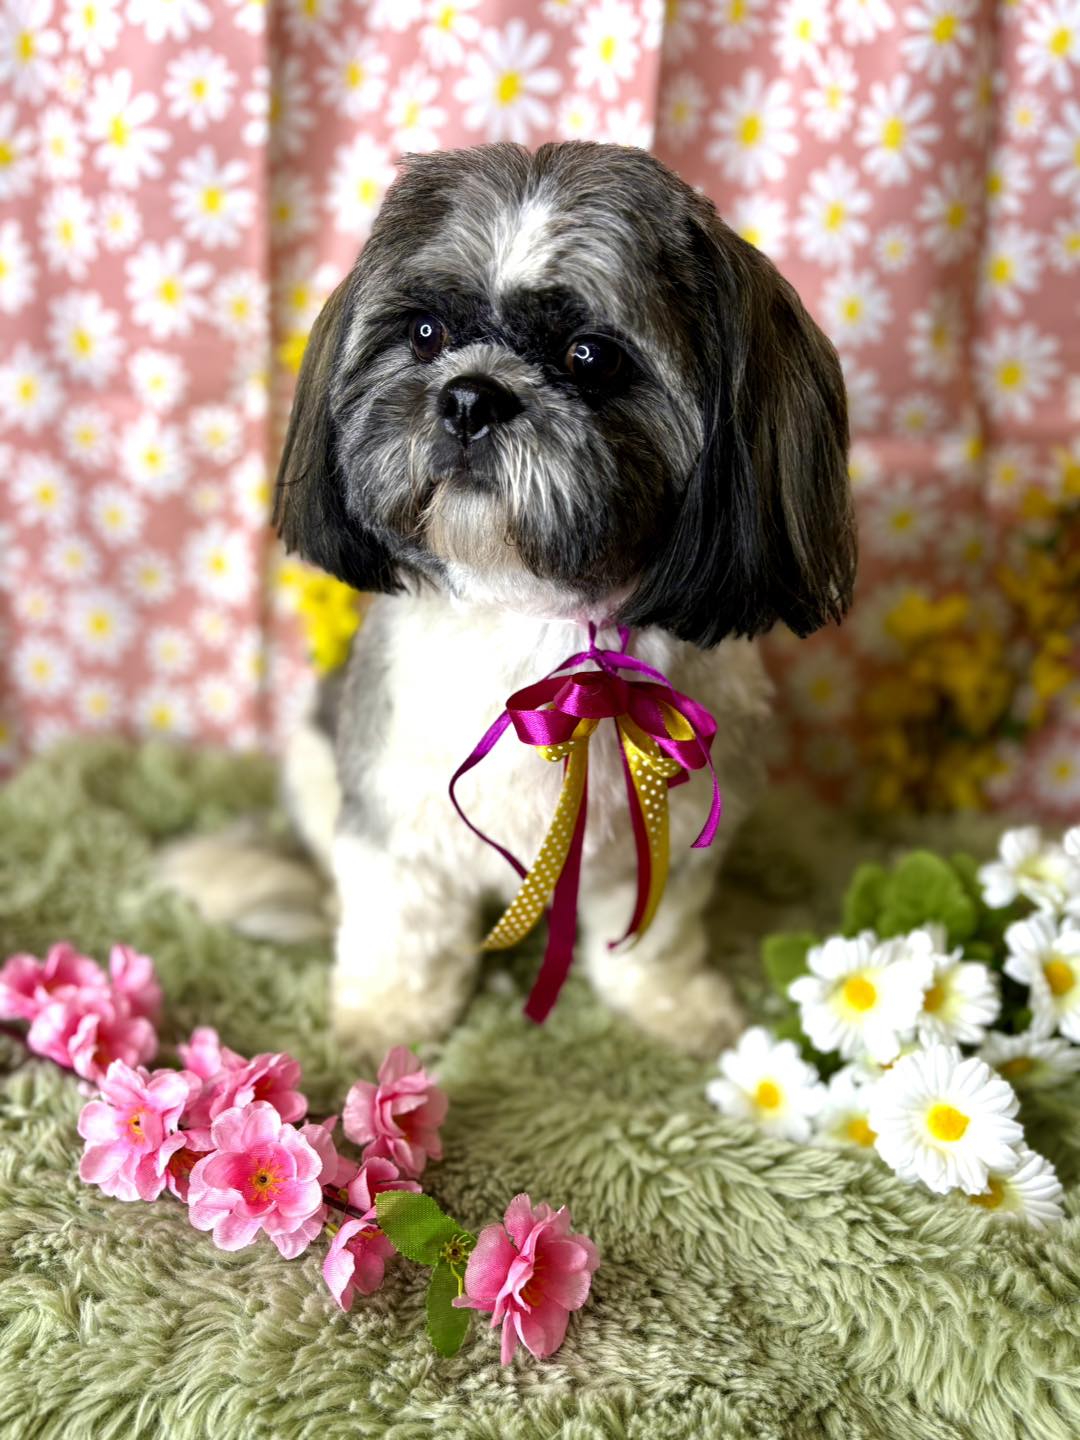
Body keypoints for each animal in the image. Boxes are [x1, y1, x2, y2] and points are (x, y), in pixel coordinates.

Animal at [260, 140, 854, 1059]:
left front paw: (669, 1006)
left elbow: (655, 936)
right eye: (427, 332)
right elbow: (405, 930)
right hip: (310, 762)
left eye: (589, 356)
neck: (542, 626)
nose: (470, 396)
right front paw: (386, 1018)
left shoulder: (675, 839)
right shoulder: (396, 819)